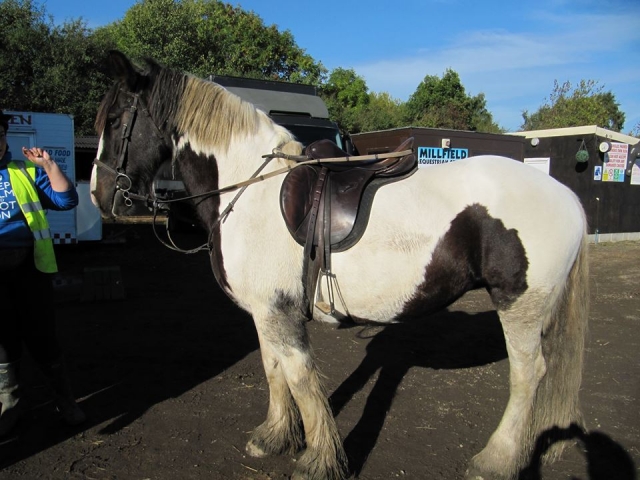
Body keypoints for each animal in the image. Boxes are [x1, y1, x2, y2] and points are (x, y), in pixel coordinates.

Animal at [90, 50, 589, 480]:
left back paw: (496, 461)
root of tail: (566, 195)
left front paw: (318, 461)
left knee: (527, 376)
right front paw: (274, 438)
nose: (100, 194)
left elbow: (300, 380)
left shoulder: (278, 313)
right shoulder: (266, 312)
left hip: (520, 306)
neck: (250, 188)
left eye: (113, 121)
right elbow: (273, 371)